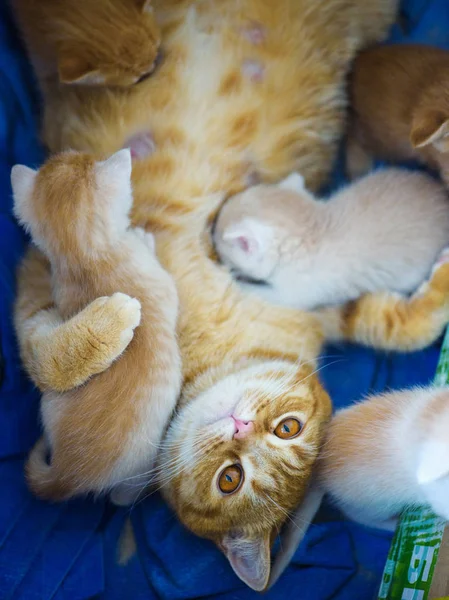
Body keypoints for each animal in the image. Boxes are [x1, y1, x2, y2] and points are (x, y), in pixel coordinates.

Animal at [10, 150, 180, 506]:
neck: (86, 259)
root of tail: (67, 475)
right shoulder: (161, 279)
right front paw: (144, 237)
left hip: (50, 402)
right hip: (138, 468)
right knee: (121, 499)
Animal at [213, 168, 448, 310]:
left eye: (221, 252)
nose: (212, 232)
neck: (311, 231)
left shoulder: (296, 294)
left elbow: (263, 294)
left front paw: (235, 280)